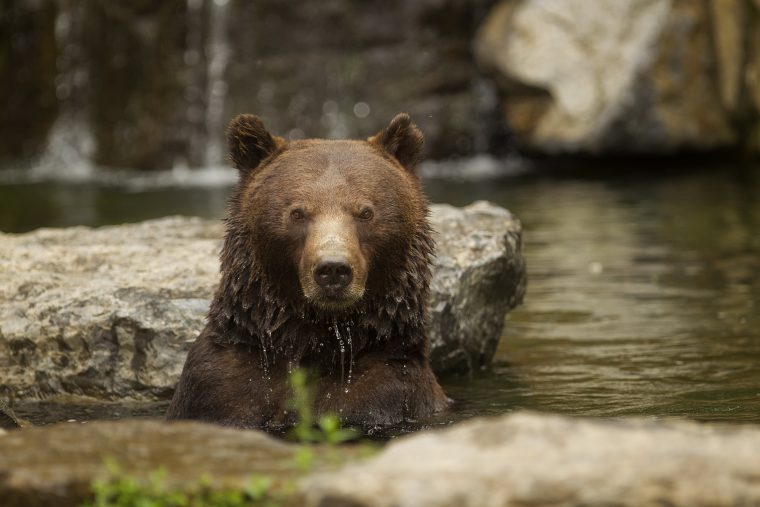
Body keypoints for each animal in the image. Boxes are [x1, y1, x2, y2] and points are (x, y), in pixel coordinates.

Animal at [166, 113, 448, 430]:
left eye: (366, 212)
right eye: (297, 212)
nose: (333, 269)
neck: (312, 339)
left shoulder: (387, 388)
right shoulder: (220, 383)